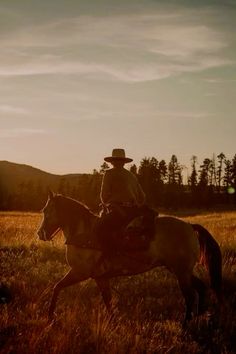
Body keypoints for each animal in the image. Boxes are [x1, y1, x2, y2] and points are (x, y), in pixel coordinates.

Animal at [37, 191, 223, 324]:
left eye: (45, 211)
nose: (40, 233)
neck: (83, 233)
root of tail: (190, 226)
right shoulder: (100, 277)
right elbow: (108, 300)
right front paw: (113, 322)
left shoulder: (80, 272)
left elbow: (57, 287)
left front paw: (50, 316)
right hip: (179, 270)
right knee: (201, 287)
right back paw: (199, 315)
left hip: (181, 272)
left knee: (190, 295)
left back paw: (185, 323)